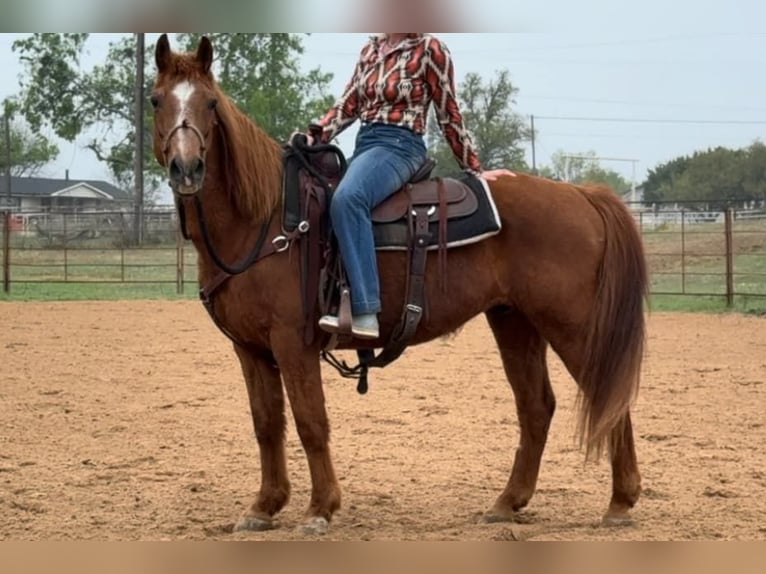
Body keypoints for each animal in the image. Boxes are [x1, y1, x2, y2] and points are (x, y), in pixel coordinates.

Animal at [150, 34, 649, 535]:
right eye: (156, 99)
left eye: (210, 102)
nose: (187, 169)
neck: (267, 217)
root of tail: (582, 194)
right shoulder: (251, 349)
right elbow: (267, 425)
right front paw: (264, 506)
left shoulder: (293, 343)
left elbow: (311, 422)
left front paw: (320, 508)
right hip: (515, 322)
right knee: (536, 406)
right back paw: (508, 502)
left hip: (572, 326)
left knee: (609, 397)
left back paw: (620, 502)